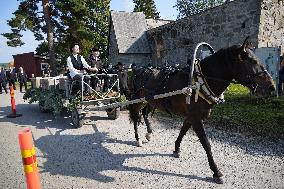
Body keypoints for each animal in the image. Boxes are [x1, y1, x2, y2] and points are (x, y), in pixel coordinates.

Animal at [127, 37, 274, 184]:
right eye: (253, 61)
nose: (271, 87)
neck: (199, 82)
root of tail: (136, 70)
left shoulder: (191, 116)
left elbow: (183, 131)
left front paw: (176, 149)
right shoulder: (195, 118)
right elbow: (206, 143)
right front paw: (216, 172)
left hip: (150, 101)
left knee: (144, 114)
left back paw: (149, 133)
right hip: (137, 100)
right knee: (135, 116)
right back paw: (138, 138)